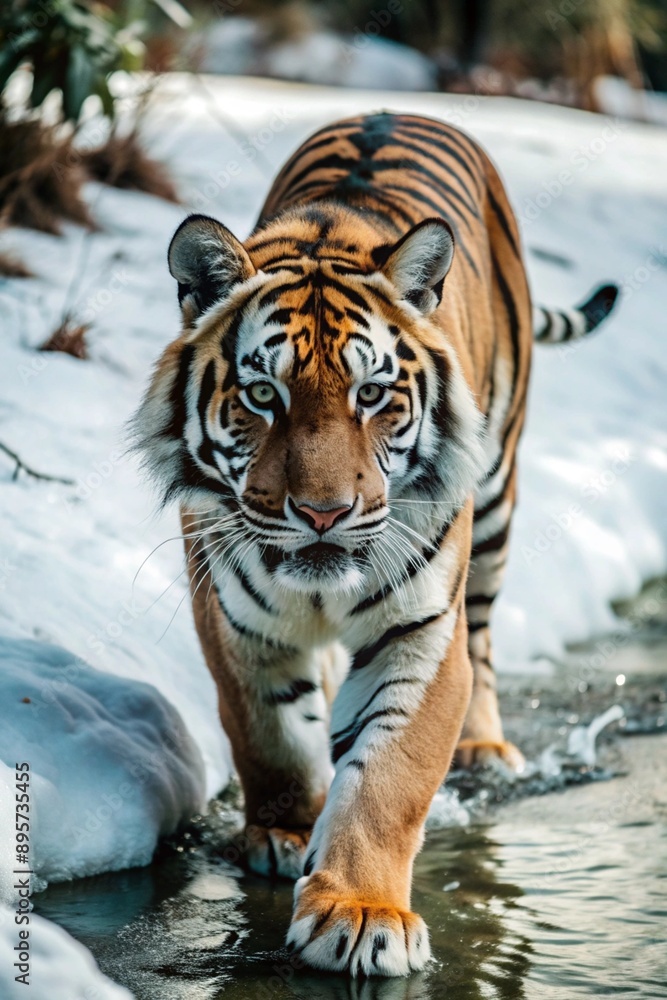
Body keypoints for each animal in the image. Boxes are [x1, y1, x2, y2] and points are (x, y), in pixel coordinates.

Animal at [134, 111, 618, 978]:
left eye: (372, 396)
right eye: (263, 395)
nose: (324, 513)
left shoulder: (420, 633)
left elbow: (388, 778)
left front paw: (361, 913)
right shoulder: (233, 617)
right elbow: (270, 734)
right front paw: (287, 828)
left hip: (495, 504)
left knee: (483, 640)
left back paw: (485, 747)